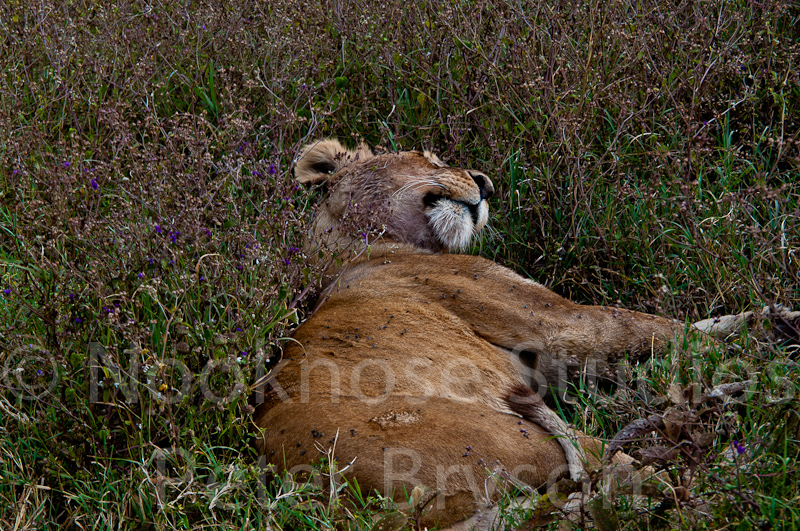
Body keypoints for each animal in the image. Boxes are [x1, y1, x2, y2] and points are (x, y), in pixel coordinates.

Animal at [253, 139, 742, 529]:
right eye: (426, 156)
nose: (486, 184)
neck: (351, 250)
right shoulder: (557, 323)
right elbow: (664, 330)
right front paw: (754, 349)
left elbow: (694, 327)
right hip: (521, 438)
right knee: (643, 484)